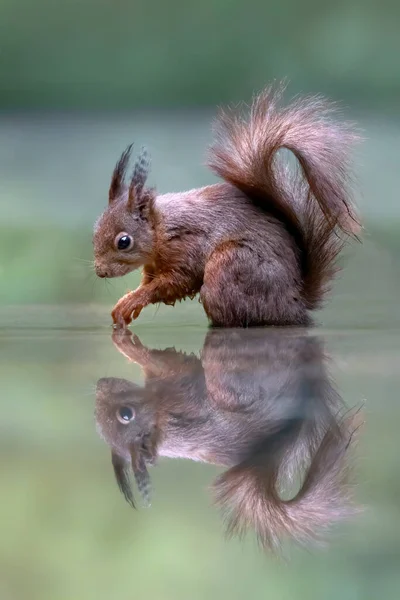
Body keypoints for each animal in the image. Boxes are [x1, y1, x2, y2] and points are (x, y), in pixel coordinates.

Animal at [92, 81, 360, 328]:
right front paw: (126, 302)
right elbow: (150, 282)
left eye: (124, 242)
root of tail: (296, 301)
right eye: (95, 230)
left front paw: (134, 300)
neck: (161, 229)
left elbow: (176, 282)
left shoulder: (187, 248)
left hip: (231, 266)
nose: (100, 272)